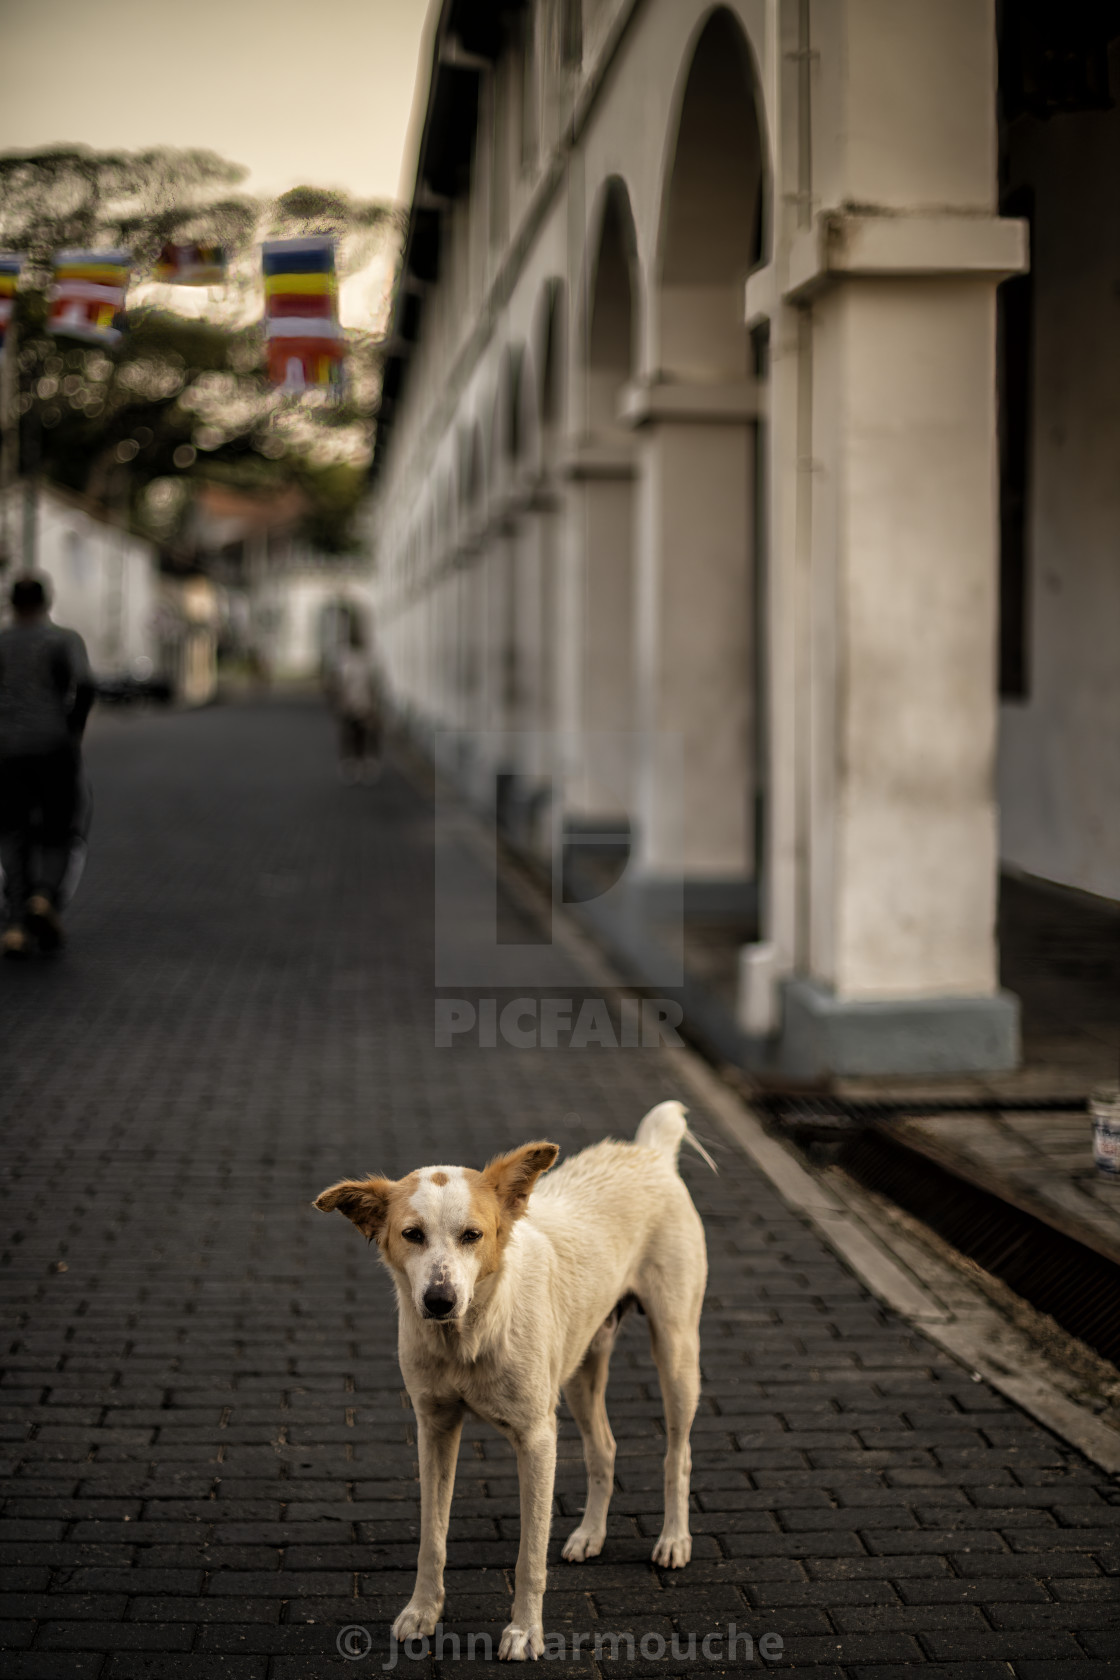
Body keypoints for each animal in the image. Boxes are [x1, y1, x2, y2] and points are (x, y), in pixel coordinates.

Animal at [314, 1095, 708, 1659]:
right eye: (412, 1235)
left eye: (472, 1236)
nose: (439, 1300)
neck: (469, 1335)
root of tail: (647, 1152)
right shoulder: (434, 1429)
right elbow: (432, 1539)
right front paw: (422, 1612)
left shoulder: (537, 1438)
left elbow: (529, 1556)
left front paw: (525, 1632)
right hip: (583, 1366)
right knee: (604, 1448)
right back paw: (590, 1535)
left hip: (675, 1350)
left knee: (678, 1453)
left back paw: (674, 1540)